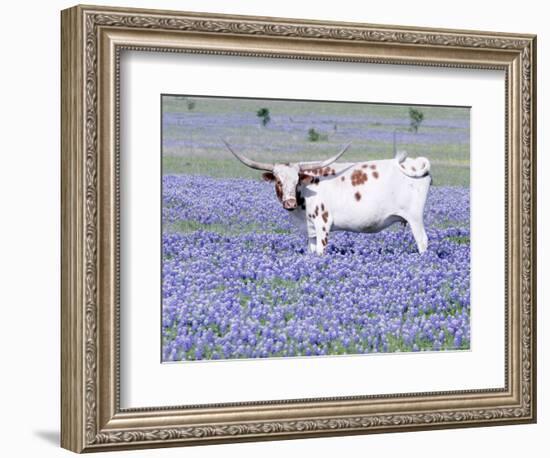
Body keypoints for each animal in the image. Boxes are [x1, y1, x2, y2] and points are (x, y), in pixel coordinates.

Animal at [222, 140, 434, 254]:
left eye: (297, 180)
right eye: (278, 181)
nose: (289, 203)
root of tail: (415, 163)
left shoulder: (322, 225)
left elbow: (321, 252)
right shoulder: (310, 231)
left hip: (415, 218)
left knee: (422, 241)